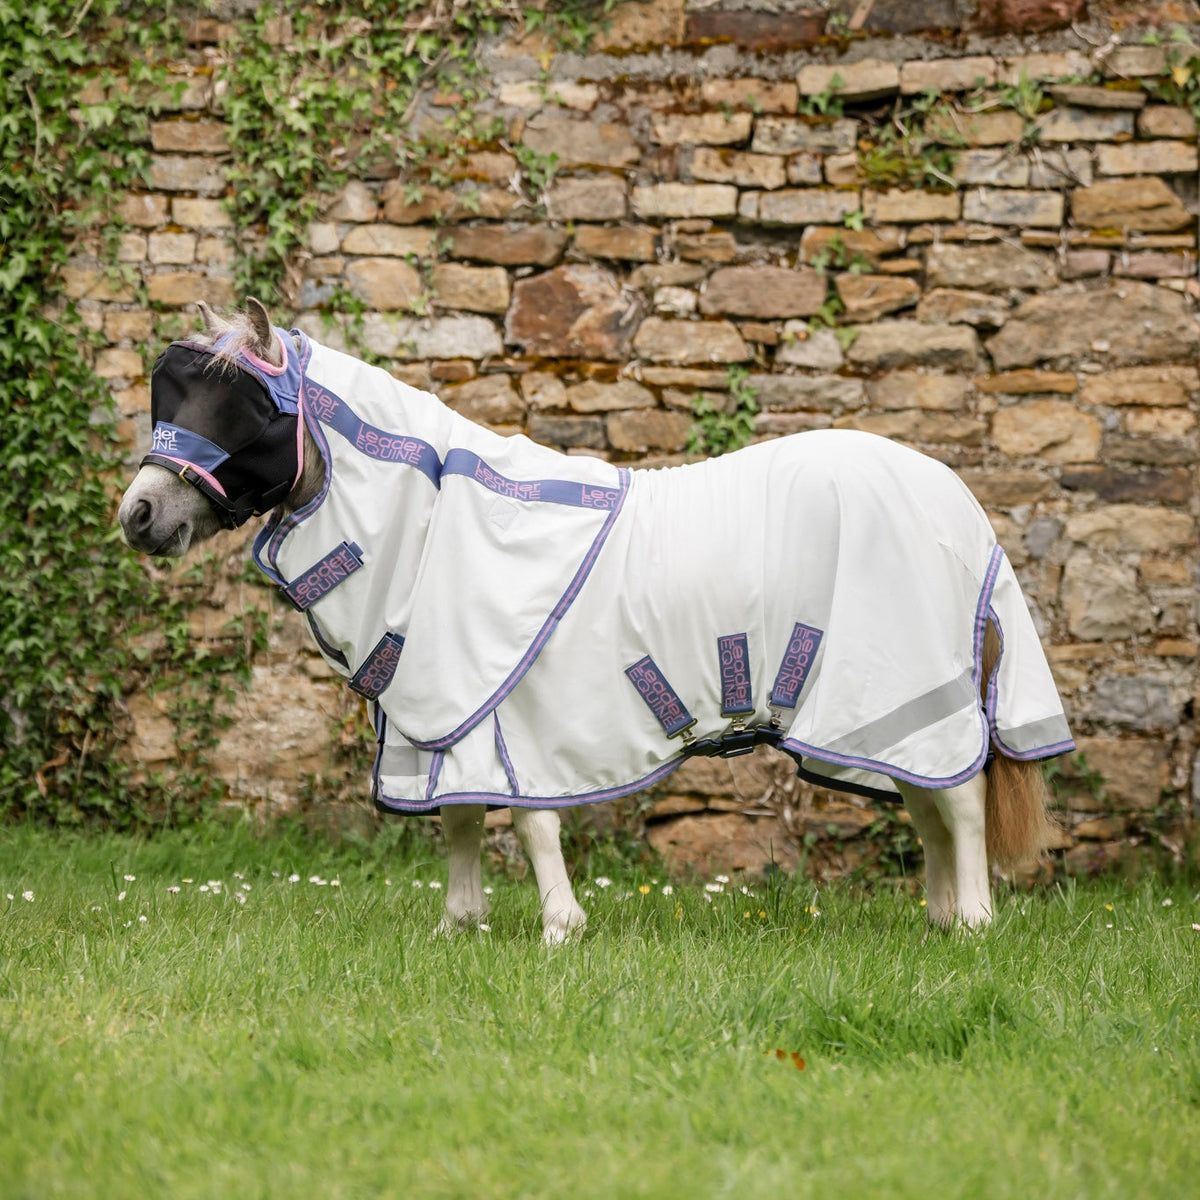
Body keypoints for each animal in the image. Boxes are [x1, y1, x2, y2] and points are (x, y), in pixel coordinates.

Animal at [119, 300, 1073, 940]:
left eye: (235, 410)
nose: (137, 515)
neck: (438, 522)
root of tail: (956, 502)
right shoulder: (445, 714)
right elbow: (462, 817)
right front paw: (458, 926)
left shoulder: (502, 706)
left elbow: (528, 820)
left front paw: (558, 927)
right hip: (873, 710)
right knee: (927, 801)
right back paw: (940, 920)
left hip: (902, 684)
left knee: (959, 804)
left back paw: (974, 922)